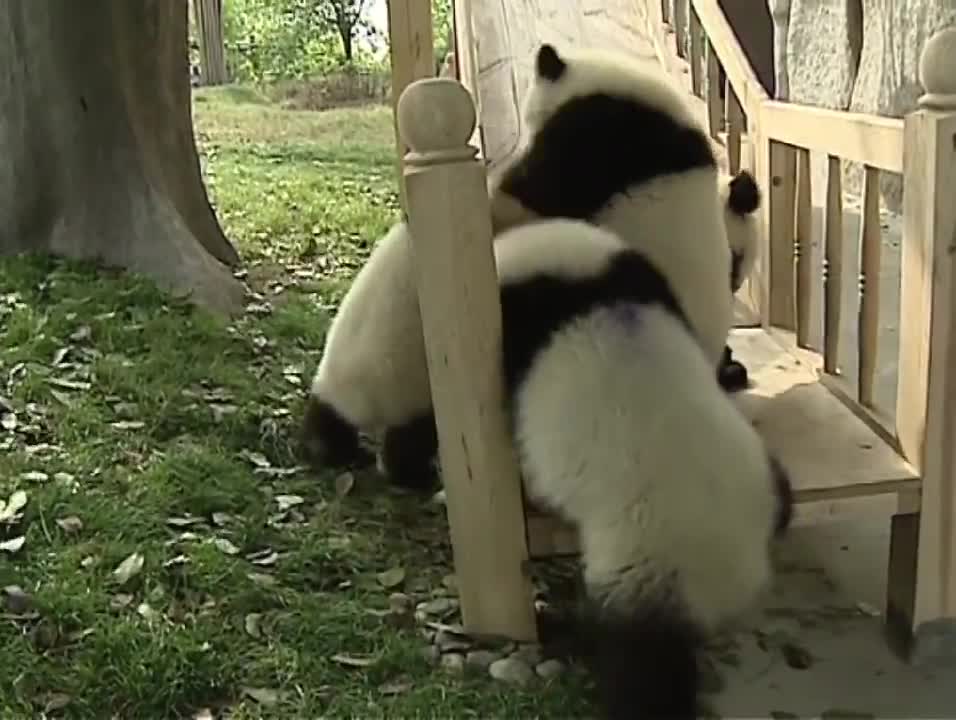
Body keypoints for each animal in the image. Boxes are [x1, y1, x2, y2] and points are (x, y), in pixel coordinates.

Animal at [492, 219, 792, 720]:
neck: (588, 286)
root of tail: (735, 587)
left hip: (643, 567)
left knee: (639, 665)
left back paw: (562, 629)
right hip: (759, 473)